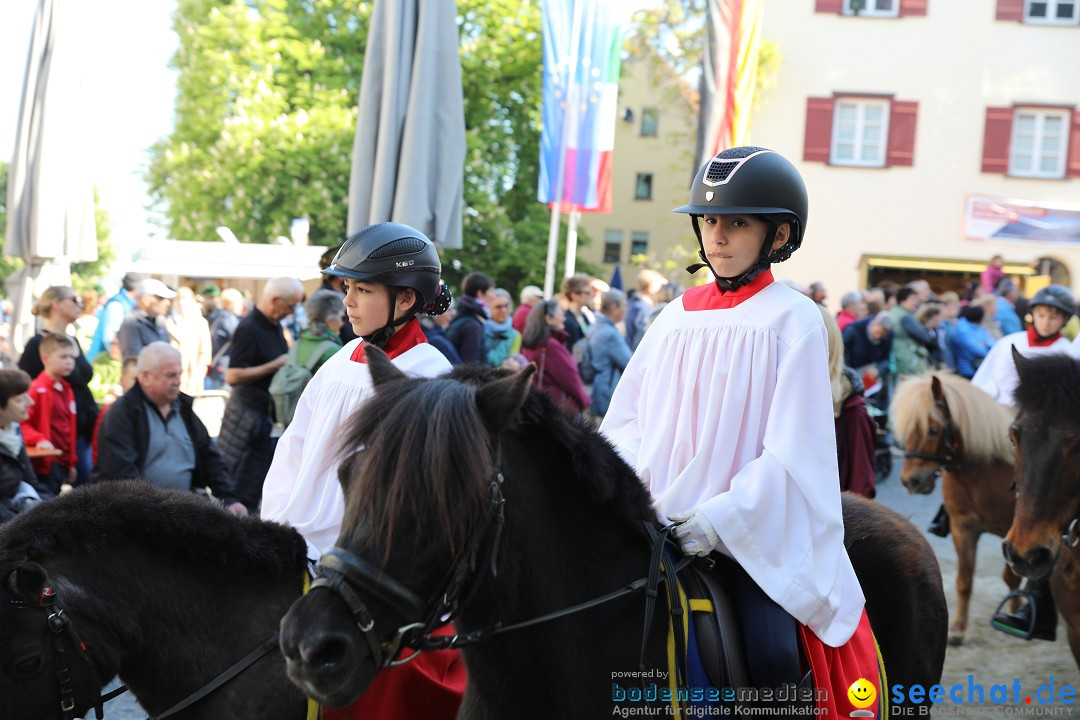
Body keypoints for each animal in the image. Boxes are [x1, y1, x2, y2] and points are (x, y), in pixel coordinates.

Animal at [894, 375, 1019, 643]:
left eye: (933, 429)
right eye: (908, 430)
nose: (911, 481)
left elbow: (1012, 575)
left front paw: (1014, 613)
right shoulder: (963, 529)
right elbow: (964, 580)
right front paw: (958, 629)